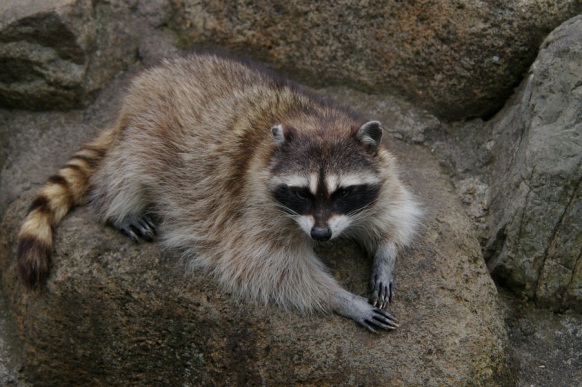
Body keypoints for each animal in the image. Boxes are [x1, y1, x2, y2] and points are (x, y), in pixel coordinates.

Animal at [16, 52, 422, 334]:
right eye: (301, 194)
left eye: (343, 193)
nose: (321, 235)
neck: (314, 120)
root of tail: (143, 83)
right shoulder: (251, 205)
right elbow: (270, 269)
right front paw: (342, 299)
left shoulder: (380, 169)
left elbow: (394, 208)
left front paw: (385, 253)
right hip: (148, 130)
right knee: (128, 168)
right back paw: (119, 206)